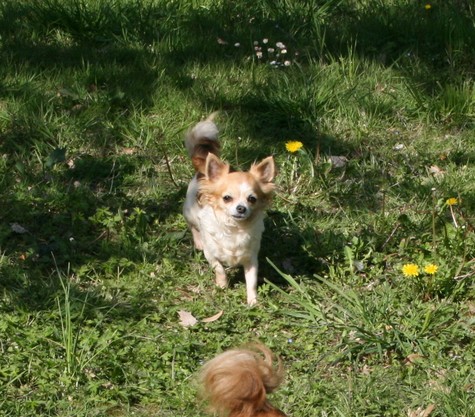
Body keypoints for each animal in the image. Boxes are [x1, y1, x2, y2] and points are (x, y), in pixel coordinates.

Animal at [184, 115, 278, 304]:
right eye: (227, 198)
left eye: (252, 199)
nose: (241, 208)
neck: (235, 228)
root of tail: (202, 168)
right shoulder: (211, 254)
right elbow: (219, 268)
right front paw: (222, 286)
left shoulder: (251, 259)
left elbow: (252, 281)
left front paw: (253, 301)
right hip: (189, 211)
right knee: (193, 226)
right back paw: (198, 241)